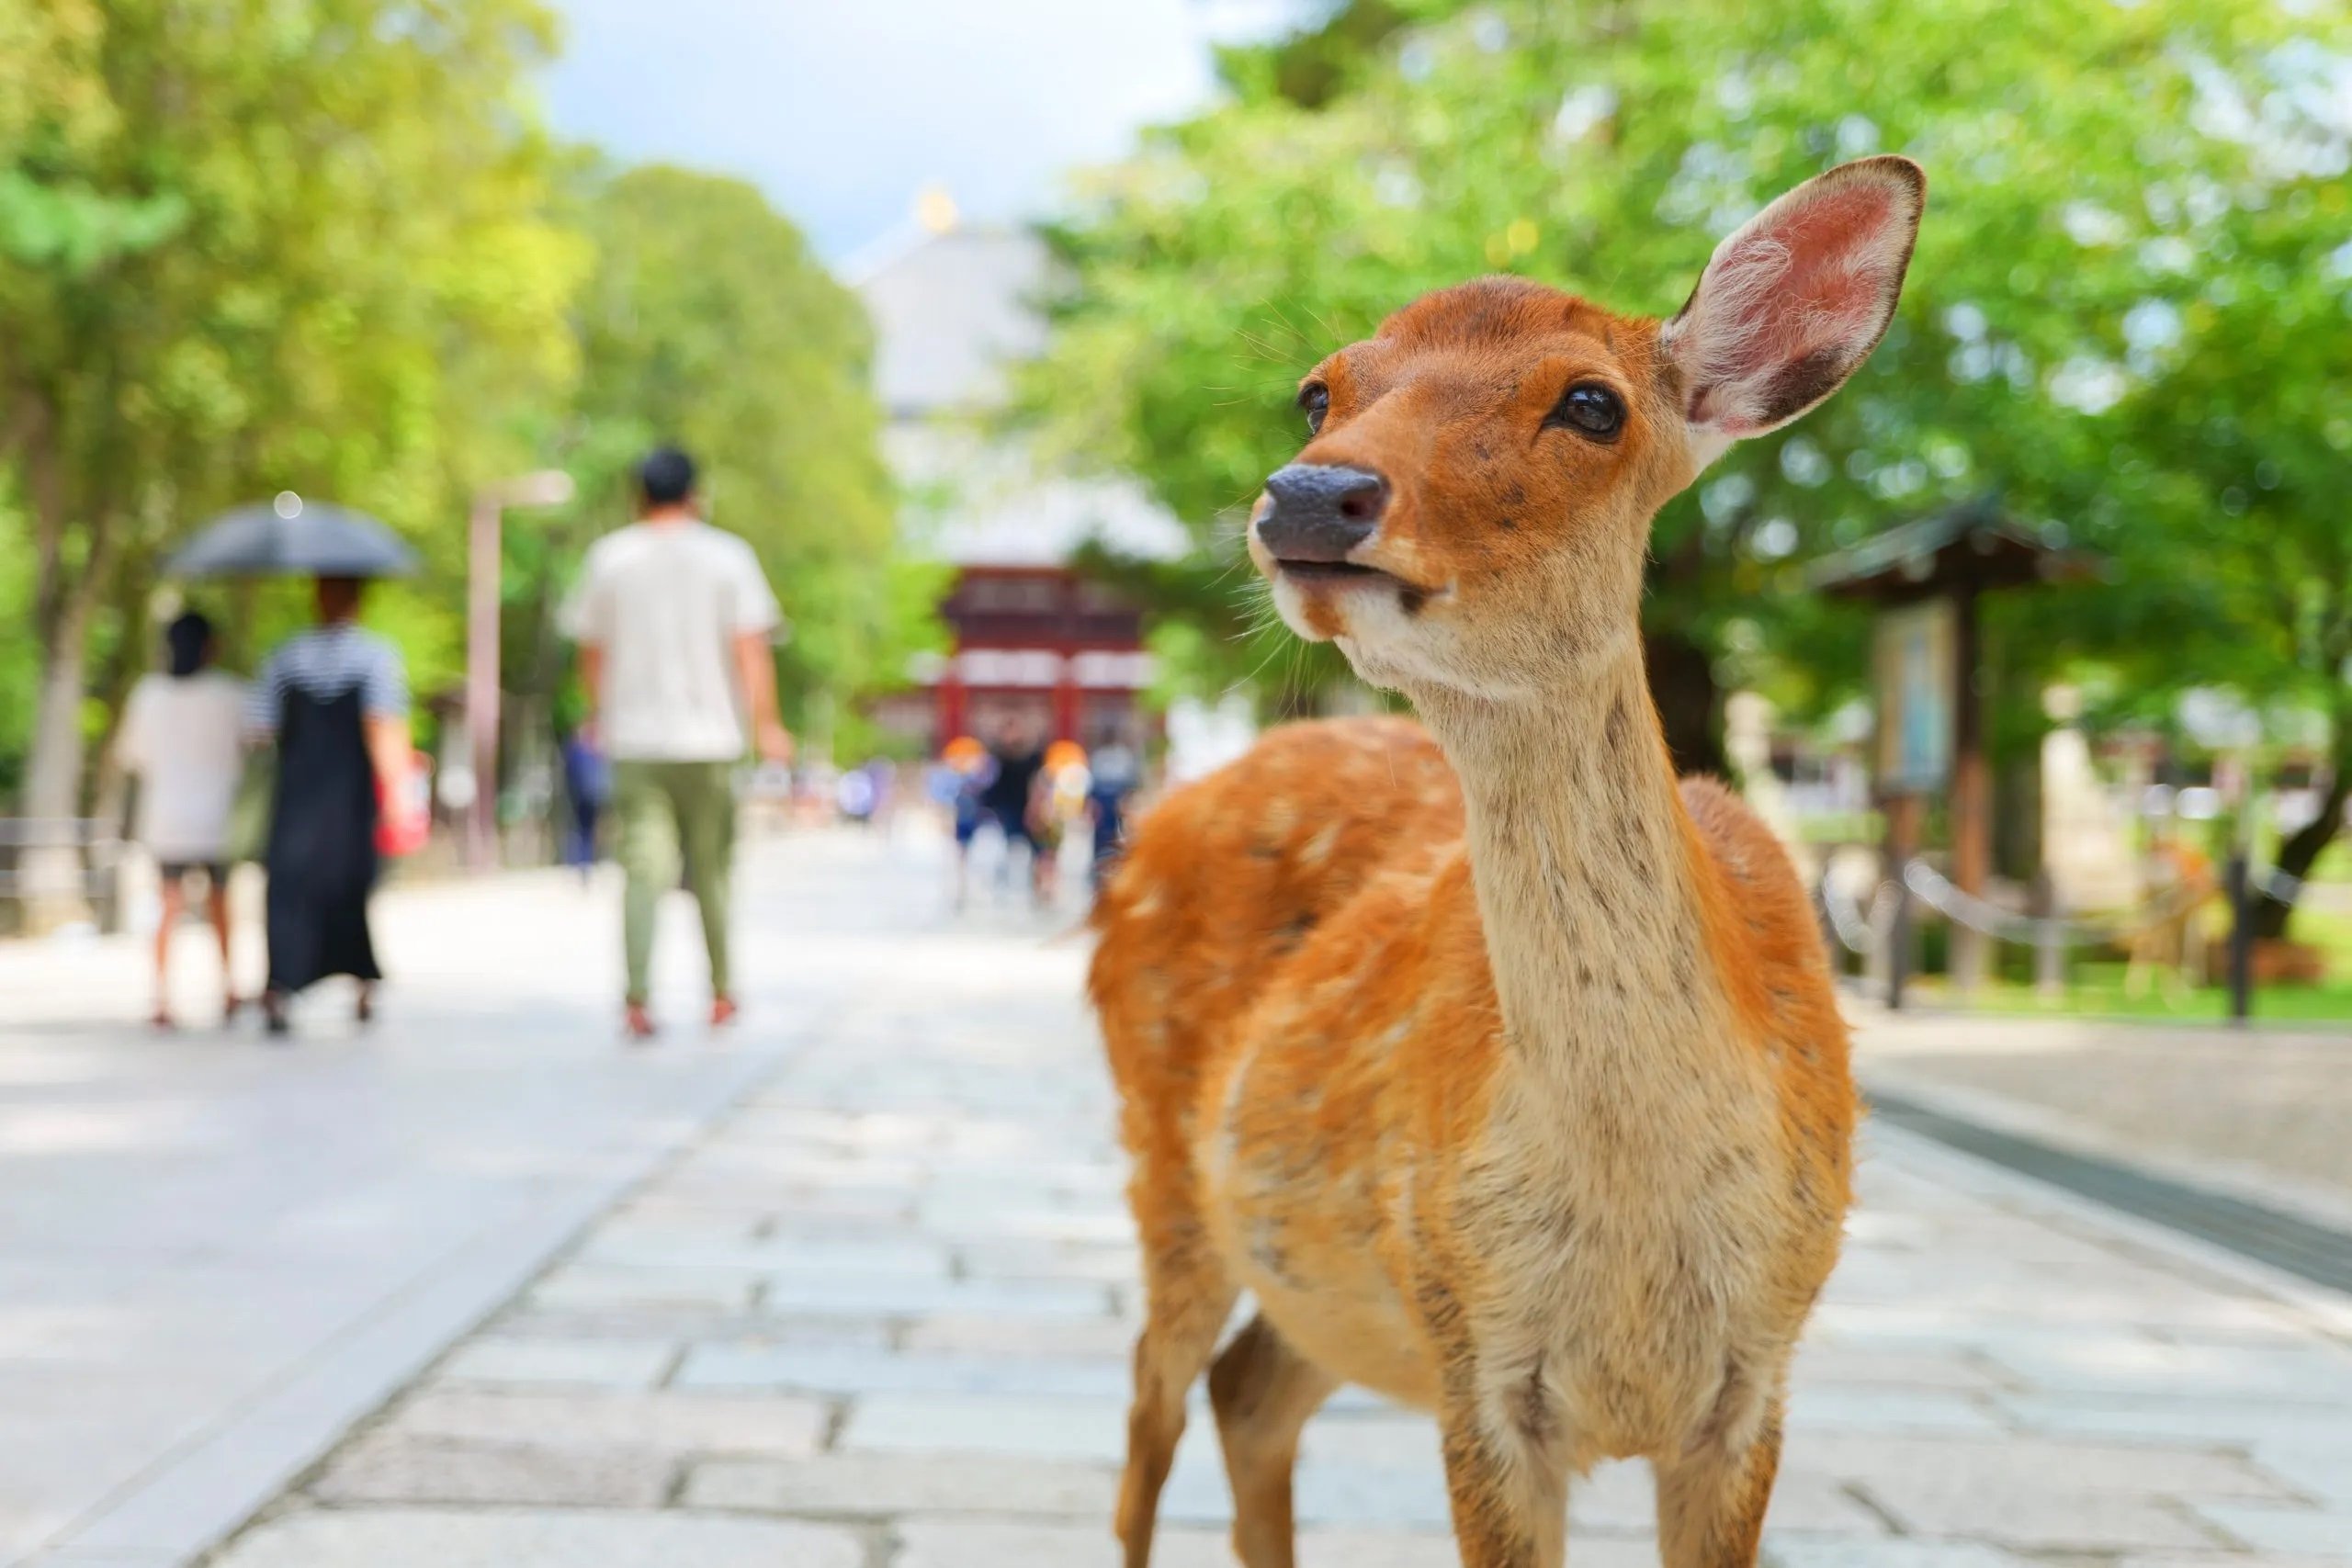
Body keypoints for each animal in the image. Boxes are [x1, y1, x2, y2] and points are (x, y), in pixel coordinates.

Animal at [1089, 156, 1925, 1568]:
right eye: (1322, 388)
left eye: (1592, 402)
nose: (1308, 494)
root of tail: (1146, 830)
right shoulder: (1476, 1352)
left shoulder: (1755, 1376)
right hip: (1168, 1163)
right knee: (1149, 1415)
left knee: (1248, 1392)